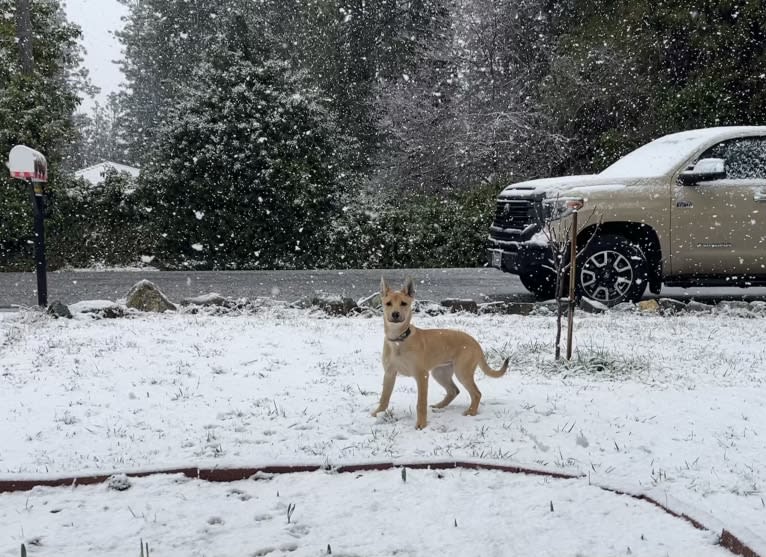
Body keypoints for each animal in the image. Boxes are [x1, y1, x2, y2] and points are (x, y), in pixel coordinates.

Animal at [372, 276, 510, 428]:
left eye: (404, 303)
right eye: (388, 303)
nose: (395, 314)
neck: (399, 339)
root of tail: (475, 342)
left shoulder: (422, 376)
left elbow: (421, 403)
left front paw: (421, 424)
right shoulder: (389, 373)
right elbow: (384, 397)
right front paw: (378, 414)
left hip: (462, 371)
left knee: (476, 393)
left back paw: (471, 412)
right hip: (440, 372)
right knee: (453, 390)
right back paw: (439, 406)